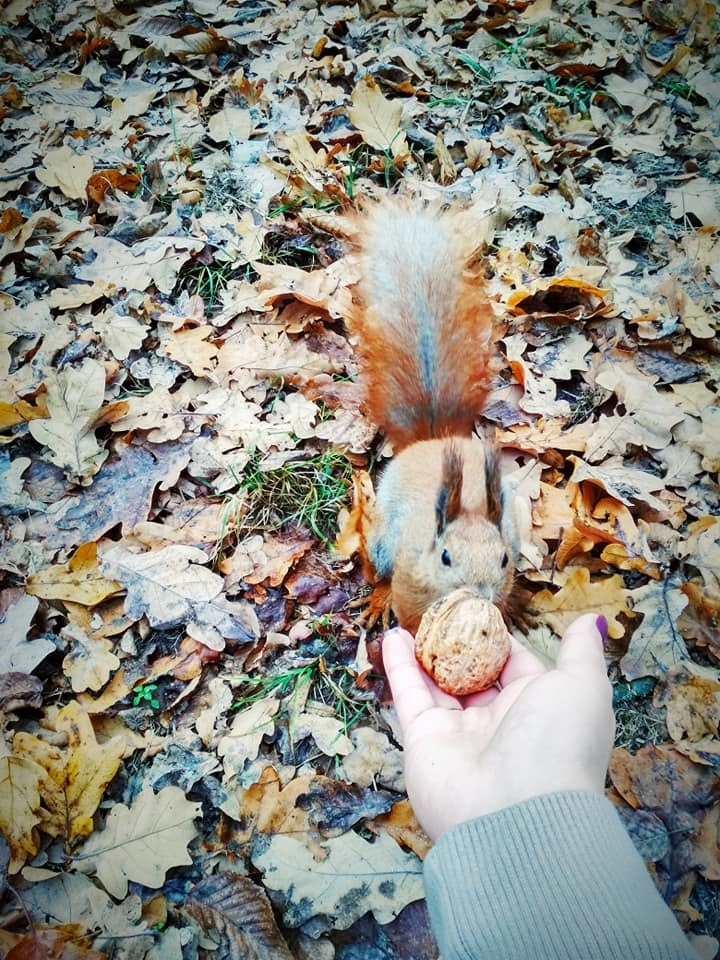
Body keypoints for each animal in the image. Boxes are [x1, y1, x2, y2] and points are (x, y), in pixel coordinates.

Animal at [346, 198, 516, 632]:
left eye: (505, 558)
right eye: (445, 557)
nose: (480, 594)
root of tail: (434, 440)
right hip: (386, 536)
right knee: (379, 562)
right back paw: (378, 595)